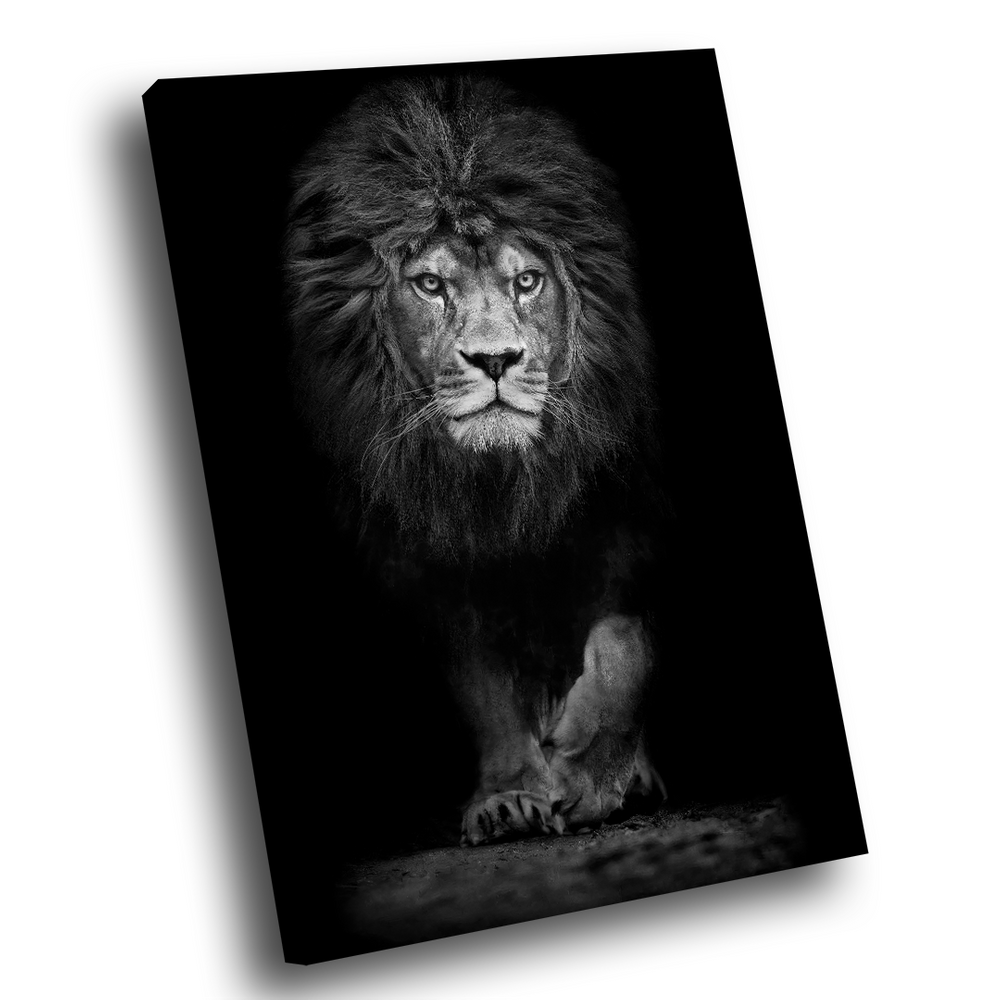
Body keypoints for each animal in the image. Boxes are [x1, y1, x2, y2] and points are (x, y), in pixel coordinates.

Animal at [285, 75, 667, 845]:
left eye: (528, 282)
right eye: (431, 285)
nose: (496, 360)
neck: (502, 485)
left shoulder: (628, 519)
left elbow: (623, 642)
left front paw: (588, 774)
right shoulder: (423, 561)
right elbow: (481, 684)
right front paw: (513, 794)